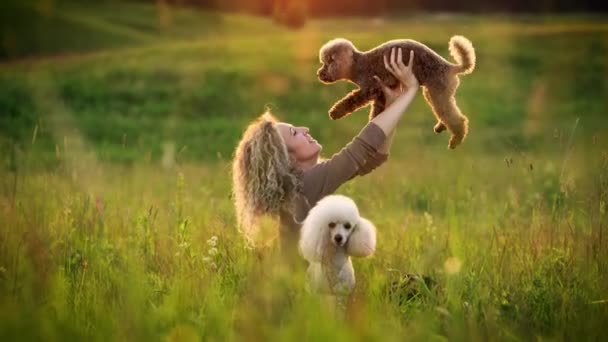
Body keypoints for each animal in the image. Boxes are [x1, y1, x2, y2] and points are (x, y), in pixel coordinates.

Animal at [318, 35, 476, 149]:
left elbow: (351, 100)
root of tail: (450, 67)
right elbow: (377, 111)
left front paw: (335, 112)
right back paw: (441, 126)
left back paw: (456, 139)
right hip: (434, 92)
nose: (319, 74)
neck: (358, 65)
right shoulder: (380, 94)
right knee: (445, 112)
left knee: (455, 117)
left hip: (439, 91)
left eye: (327, 63)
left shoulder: (369, 87)